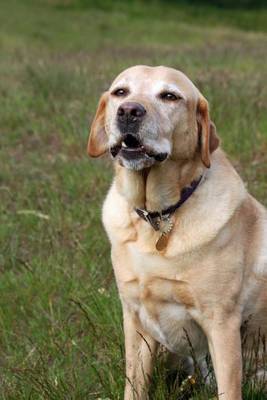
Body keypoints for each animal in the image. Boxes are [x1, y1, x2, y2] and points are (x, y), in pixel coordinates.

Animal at [87, 66, 266, 400]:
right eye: (120, 92)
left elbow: (228, 389)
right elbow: (134, 386)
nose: (129, 111)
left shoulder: (221, 322)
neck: (158, 216)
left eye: (169, 96)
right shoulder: (135, 319)